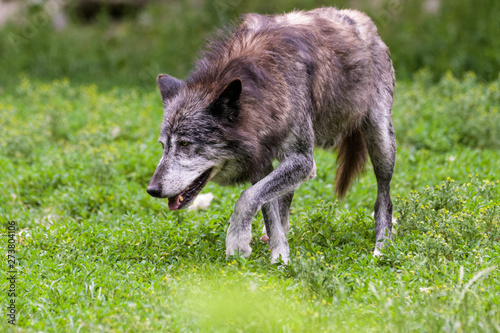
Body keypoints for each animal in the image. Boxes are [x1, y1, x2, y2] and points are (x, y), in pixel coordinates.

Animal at [146, 7, 396, 262]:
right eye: (163, 146)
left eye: (185, 144)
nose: (152, 190)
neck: (263, 88)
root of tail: (362, 18)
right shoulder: (261, 163)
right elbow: (266, 209)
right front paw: (280, 257)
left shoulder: (303, 161)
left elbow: (247, 198)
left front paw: (238, 241)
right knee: (283, 199)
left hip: (381, 142)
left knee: (384, 201)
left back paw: (382, 247)